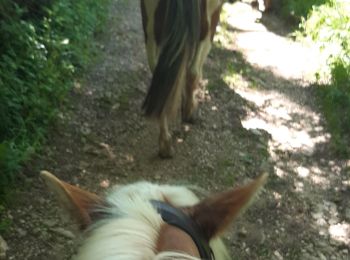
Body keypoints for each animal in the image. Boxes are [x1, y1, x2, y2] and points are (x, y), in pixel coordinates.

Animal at [139, 0, 232, 158]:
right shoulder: (213, 17)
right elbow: (193, 72)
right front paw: (188, 110)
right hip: (206, 24)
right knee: (192, 71)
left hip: (150, 26)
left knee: (162, 79)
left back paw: (165, 143)